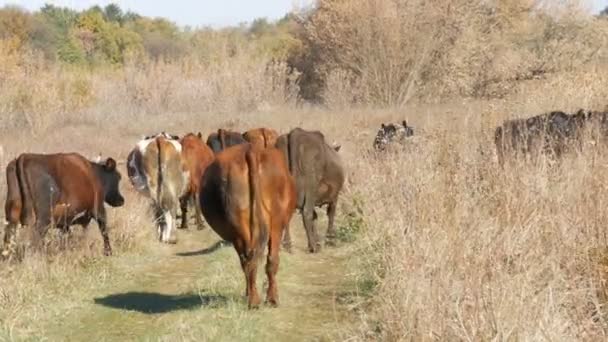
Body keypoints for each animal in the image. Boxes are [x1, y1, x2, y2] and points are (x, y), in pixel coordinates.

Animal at [198, 143, 296, 308]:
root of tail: (251, 150)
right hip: (275, 224)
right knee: (268, 260)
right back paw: (268, 299)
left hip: (240, 230)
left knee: (248, 261)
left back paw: (253, 299)